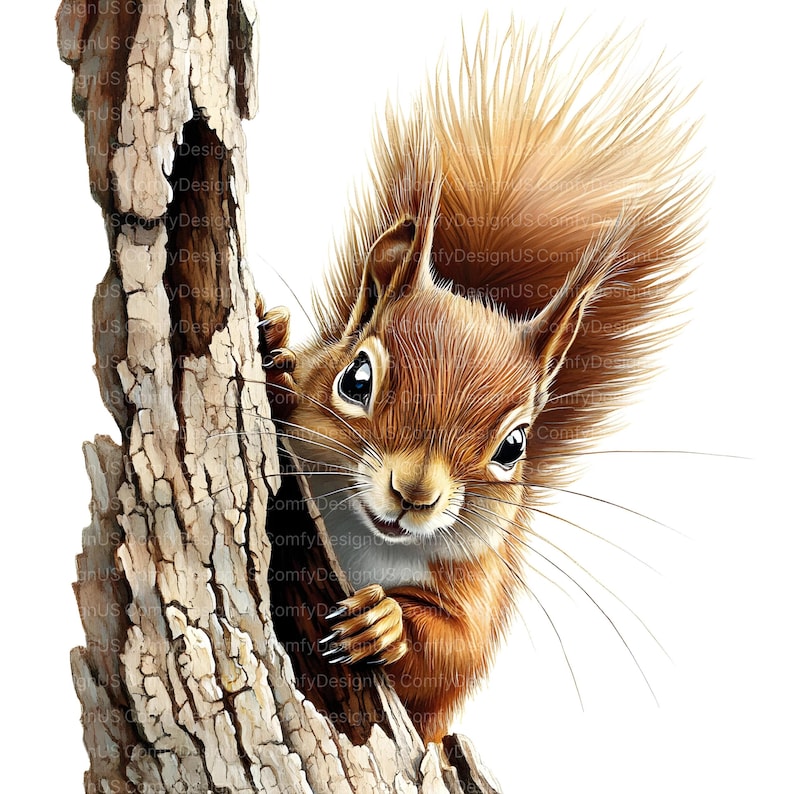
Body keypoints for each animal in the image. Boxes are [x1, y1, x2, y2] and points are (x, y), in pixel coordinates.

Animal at [256, 22, 704, 743]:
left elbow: (453, 657)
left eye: (514, 447)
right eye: (355, 378)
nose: (414, 493)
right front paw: (273, 354)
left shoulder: (480, 585)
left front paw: (384, 623)